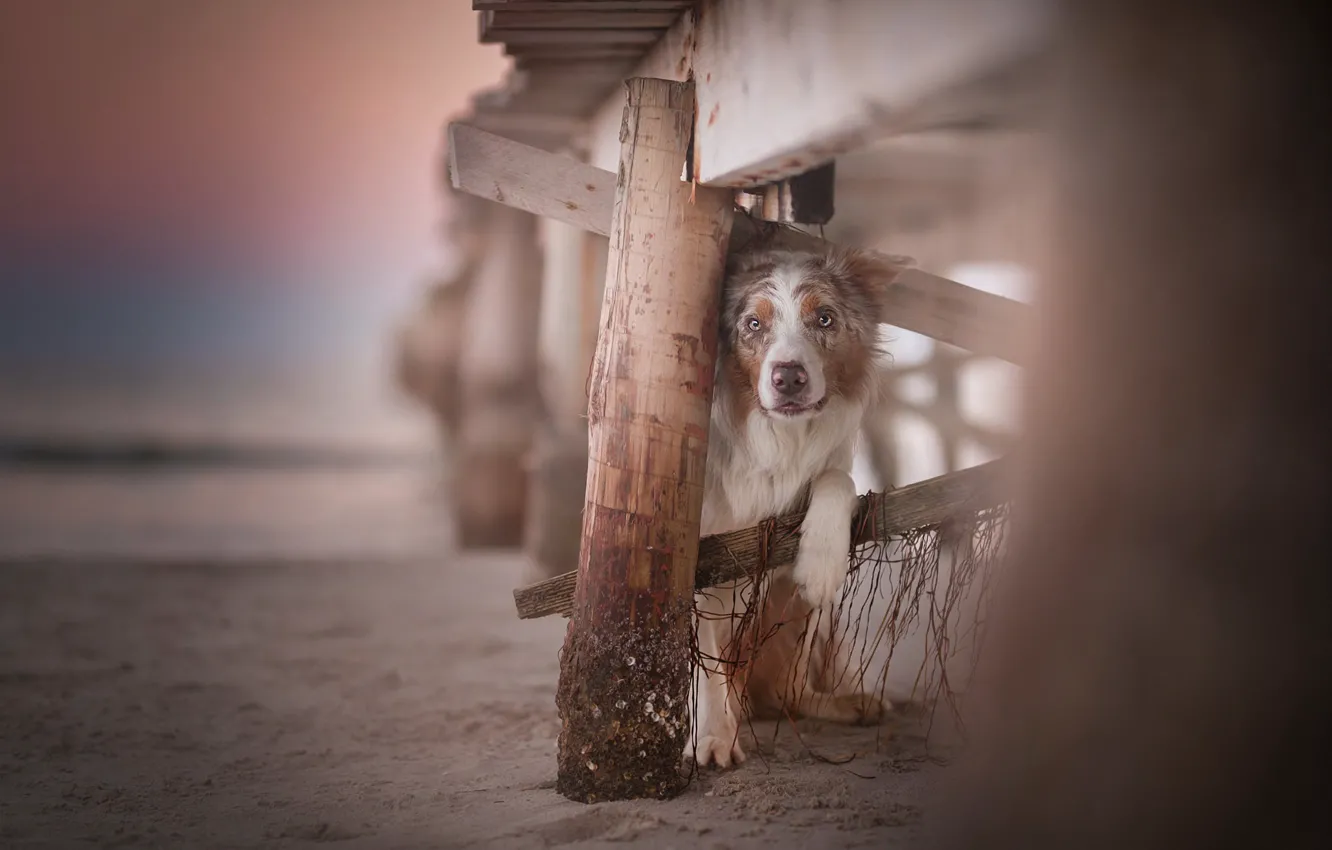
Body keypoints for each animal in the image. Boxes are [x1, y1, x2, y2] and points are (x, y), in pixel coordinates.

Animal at [687, 242, 895, 767]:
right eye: (752, 324)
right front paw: (712, 736)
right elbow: (705, 660)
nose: (789, 378)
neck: (777, 440)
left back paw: (853, 703)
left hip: (806, 613)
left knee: (789, 691)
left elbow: (836, 478)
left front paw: (820, 555)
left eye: (824, 318)